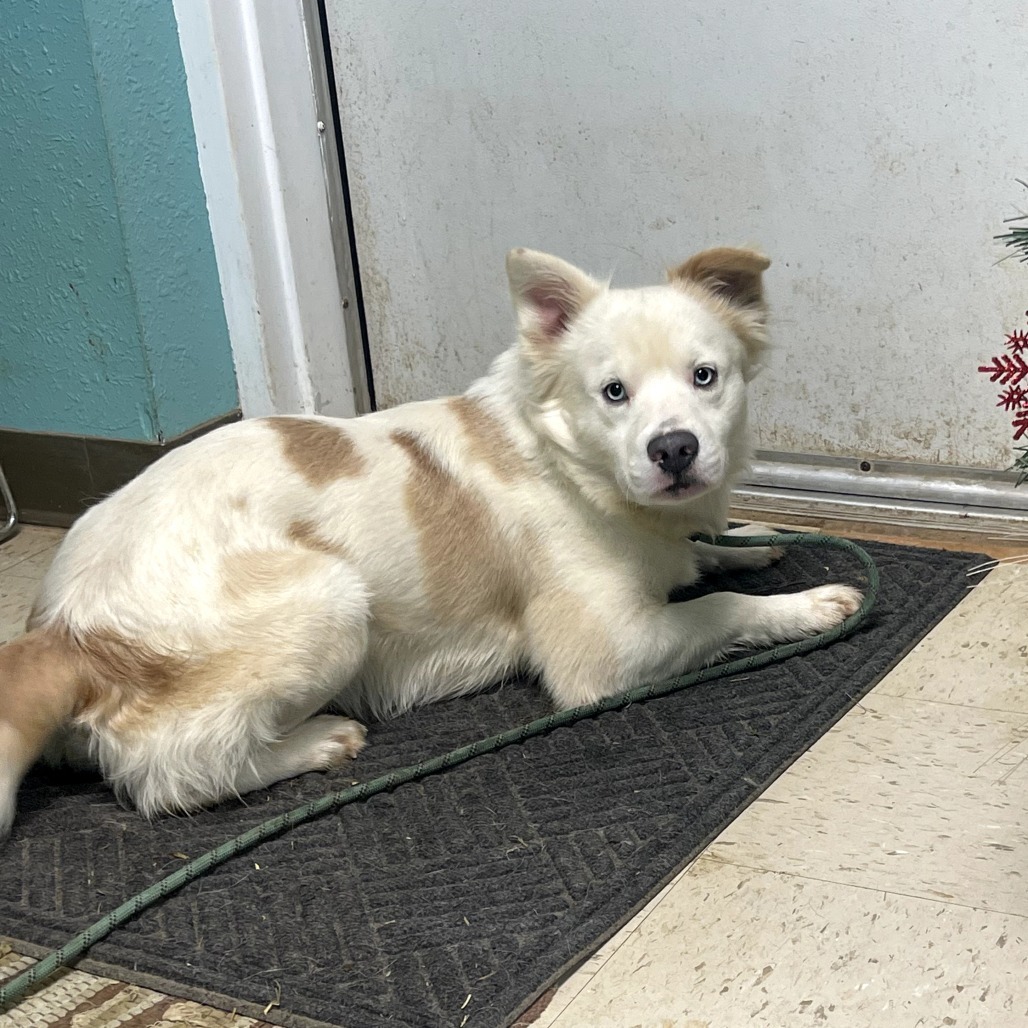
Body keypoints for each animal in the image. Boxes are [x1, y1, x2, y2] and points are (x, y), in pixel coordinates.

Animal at [0, 246, 859, 834]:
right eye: (613, 393)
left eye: (705, 377)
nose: (674, 449)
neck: (567, 463)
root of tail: (60, 627)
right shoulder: (604, 656)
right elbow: (721, 609)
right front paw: (811, 604)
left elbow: (704, 558)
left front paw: (747, 539)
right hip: (333, 601)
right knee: (173, 777)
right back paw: (317, 743)